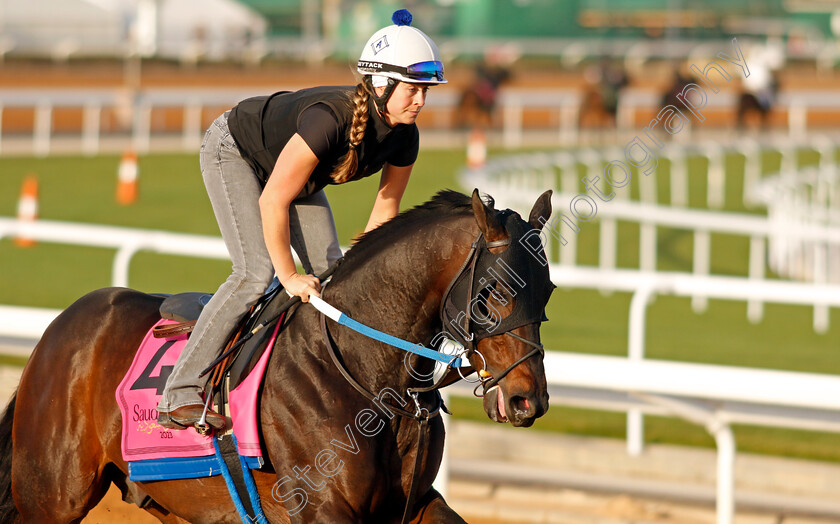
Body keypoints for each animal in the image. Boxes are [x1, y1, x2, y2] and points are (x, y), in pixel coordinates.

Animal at [1, 189, 556, 524]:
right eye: (493, 291)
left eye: (548, 290)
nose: (527, 400)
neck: (367, 374)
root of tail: (57, 330)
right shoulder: (322, 507)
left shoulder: (415, 503)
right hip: (52, 496)